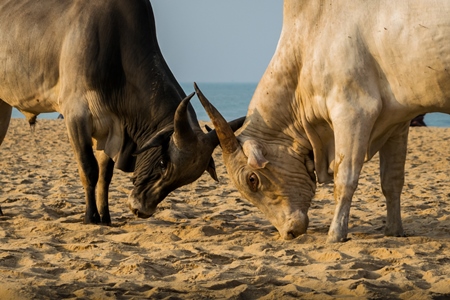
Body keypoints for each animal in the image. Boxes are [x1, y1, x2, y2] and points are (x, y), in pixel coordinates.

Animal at [199, 0, 450, 243]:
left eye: (252, 179)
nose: (289, 232)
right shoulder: (397, 122)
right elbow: (392, 181)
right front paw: (394, 231)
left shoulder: (352, 111)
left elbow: (345, 179)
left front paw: (335, 234)